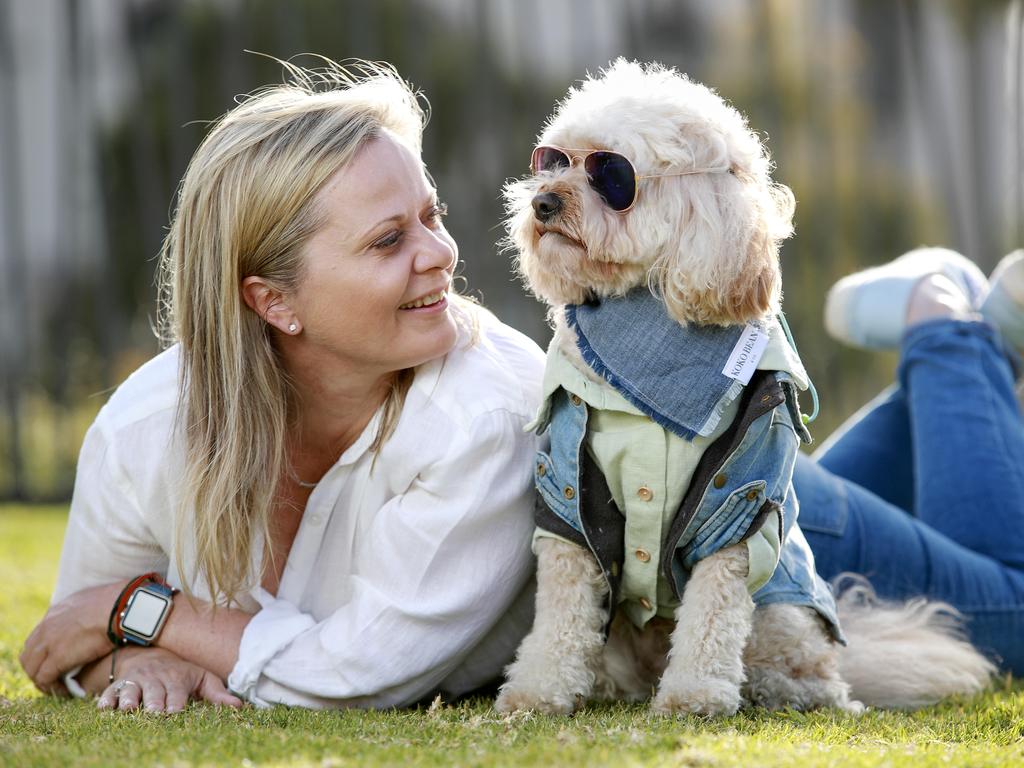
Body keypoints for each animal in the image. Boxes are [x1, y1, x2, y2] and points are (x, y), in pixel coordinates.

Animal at [491, 61, 995, 720]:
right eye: (554, 161)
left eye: (612, 175)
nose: (543, 201)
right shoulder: (569, 496)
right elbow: (561, 609)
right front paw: (538, 687)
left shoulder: (738, 504)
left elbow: (712, 612)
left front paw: (696, 695)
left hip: (784, 614)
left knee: (813, 672)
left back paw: (784, 689)